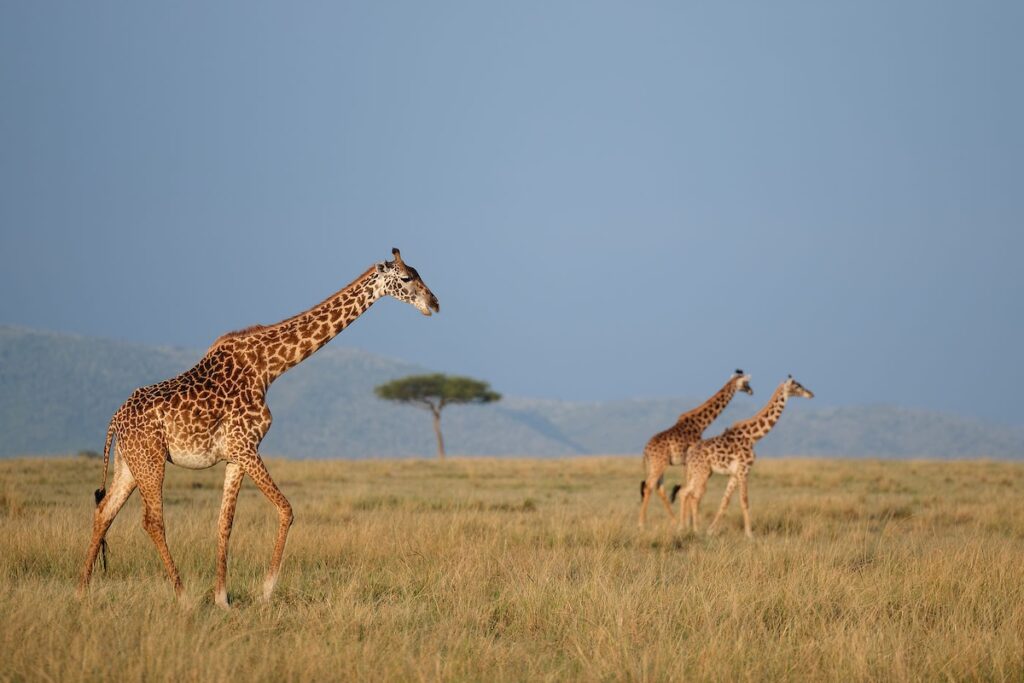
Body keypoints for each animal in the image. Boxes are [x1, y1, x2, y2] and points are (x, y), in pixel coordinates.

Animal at [78, 248, 439, 608]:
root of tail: (115, 419)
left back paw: (83, 589)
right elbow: (286, 509)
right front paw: (266, 591)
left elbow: (224, 523)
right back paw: (182, 596)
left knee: (104, 513)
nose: (434, 303)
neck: (268, 368)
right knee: (152, 521)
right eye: (406, 277)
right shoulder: (246, 446)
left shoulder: (236, 456)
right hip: (150, 460)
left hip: (129, 464)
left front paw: (223, 599)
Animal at [637, 370, 752, 528]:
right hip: (659, 464)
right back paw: (642, 524)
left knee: (658, 488)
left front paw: (687, 522)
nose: (751, 391)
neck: (700, 423)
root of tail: (645, 451)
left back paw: (673, 521)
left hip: (657, 464)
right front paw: (689, 523)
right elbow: (689, 488)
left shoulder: (687, 461)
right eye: (746, 383)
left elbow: (687, 486)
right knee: (649, 486)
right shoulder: (690, 459)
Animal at [674, 375, 813, 538]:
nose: (811, 394)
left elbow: (725, 502)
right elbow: (744, 501)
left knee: (684, 492)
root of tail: (689, 453)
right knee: (695, 496)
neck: (753, 437)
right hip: (702, 472)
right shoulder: (743, 471)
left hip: (699, 472)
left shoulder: (734, 474)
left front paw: (711, 530)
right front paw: (749, 534)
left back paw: (682, 528)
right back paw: (696, 529)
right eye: (797, 386)